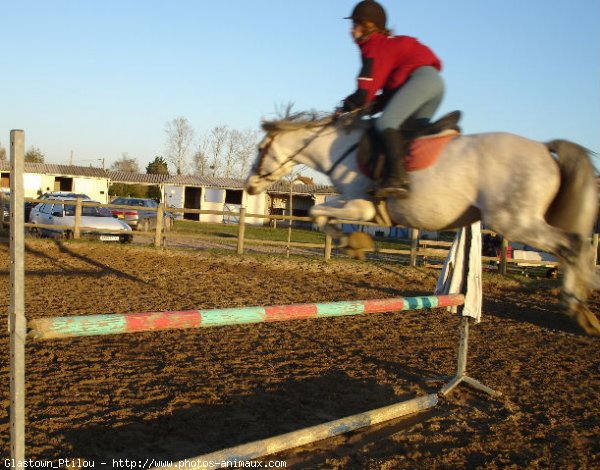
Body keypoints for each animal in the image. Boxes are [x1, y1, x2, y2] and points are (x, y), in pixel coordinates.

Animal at [245, 113, 600, 334]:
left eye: (262, 148)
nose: (249, 185)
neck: (343, 149)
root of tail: (544, 148)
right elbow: (322, 216)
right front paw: (355, 244)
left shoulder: (361, 206)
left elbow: (319, 214)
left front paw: (351, 242)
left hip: (515, 221)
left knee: (573, 245)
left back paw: (577, 306)